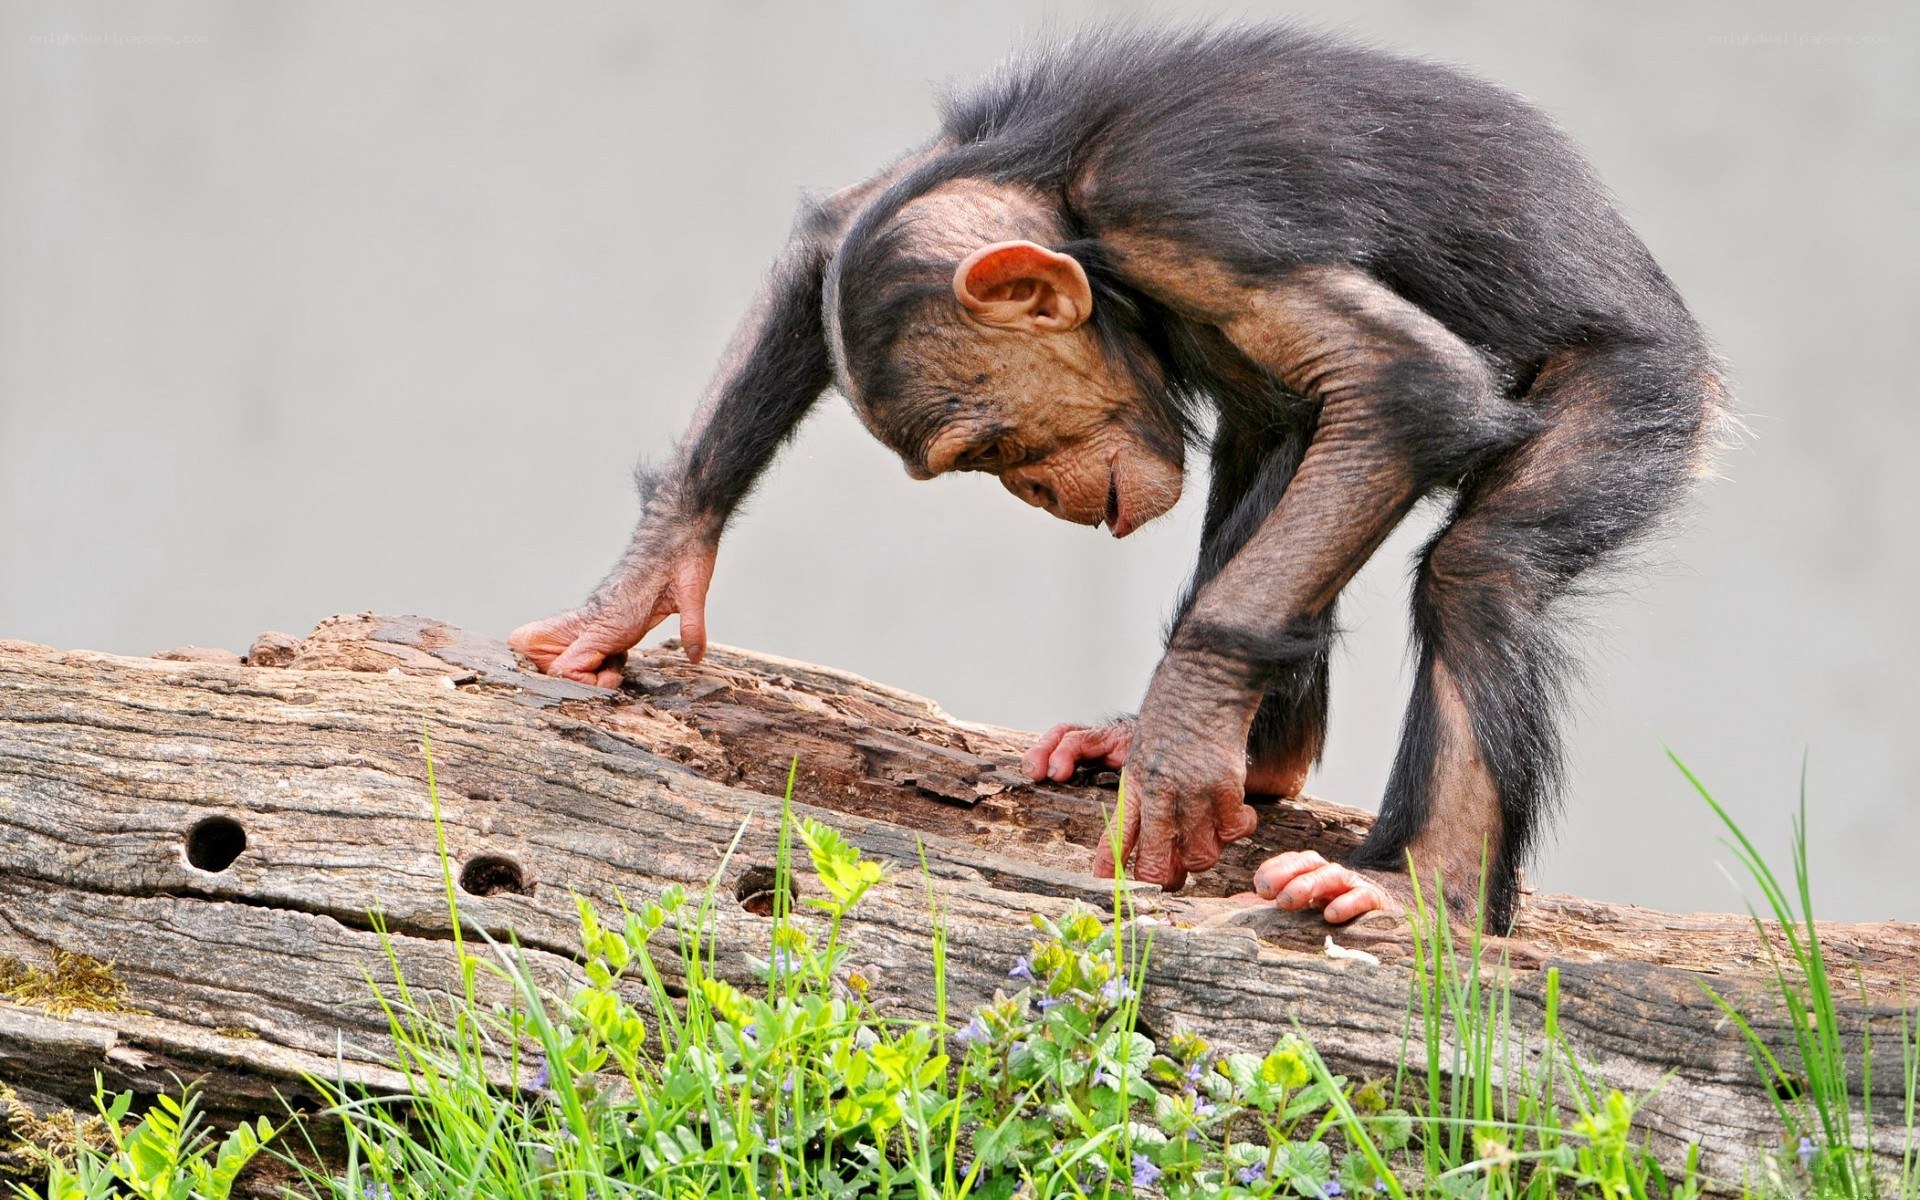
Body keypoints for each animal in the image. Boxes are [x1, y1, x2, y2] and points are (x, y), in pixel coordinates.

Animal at [511, 25, 1728, 929]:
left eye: (985, 448)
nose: (1035, 492)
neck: (1072, 203)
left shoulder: (1181, 218)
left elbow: (1403, 385)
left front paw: (1180, 740)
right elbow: (833, 229)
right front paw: (639, 582)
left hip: (1644, 388)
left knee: (1480, 572)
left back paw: (1418, 890)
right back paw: (1258, 757)